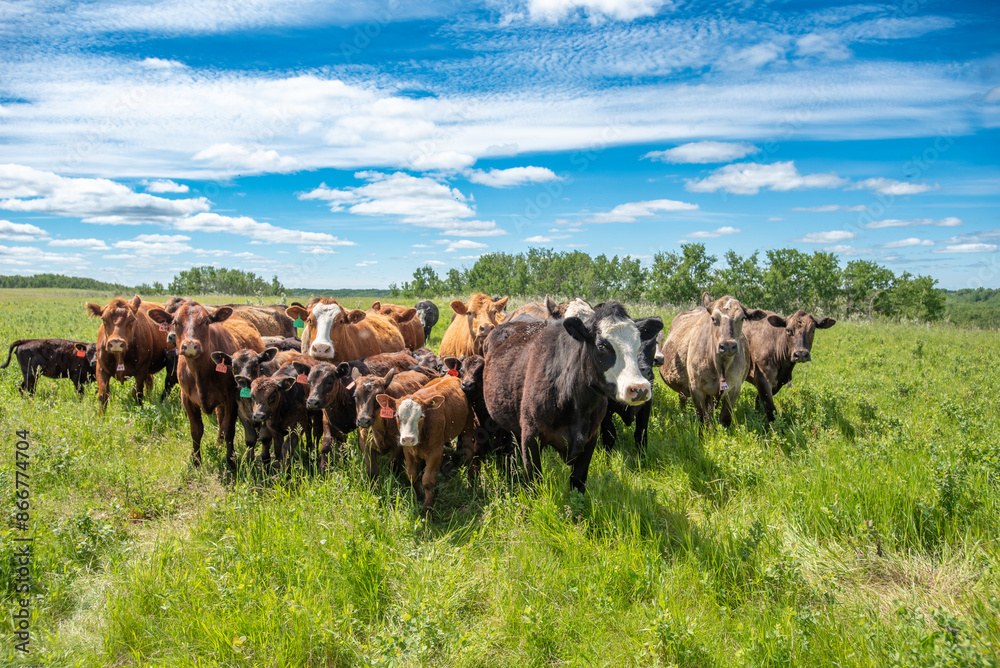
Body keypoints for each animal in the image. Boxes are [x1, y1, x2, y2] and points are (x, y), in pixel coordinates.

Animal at [147, 301, 264, 471]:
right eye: (175, 323)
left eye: (206, 322)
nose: (190, 346)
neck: (200, 373)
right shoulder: (187, 400)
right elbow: (196, 430)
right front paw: (196, 460)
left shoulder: (231, 399)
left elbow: (229, 429)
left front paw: (230, 460)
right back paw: (218, 445)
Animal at [376, 373, 476, 516]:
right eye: (397, 416)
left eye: (421, 416)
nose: (408, 439)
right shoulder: (408, 451)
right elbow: (411, 475)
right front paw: (419, 496)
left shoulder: (434, 451)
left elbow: (427, 480)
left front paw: (427, 507)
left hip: (468, 427)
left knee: (469, 453)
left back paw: (471, 480)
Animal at [658, 293, 767, 427]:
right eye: (714, 318)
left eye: (742, 318)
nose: (727, 346)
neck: (720, 366)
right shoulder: (696, 390)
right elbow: (702, 419)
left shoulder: (734, 389)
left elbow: (725, 419)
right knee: (683, 399)